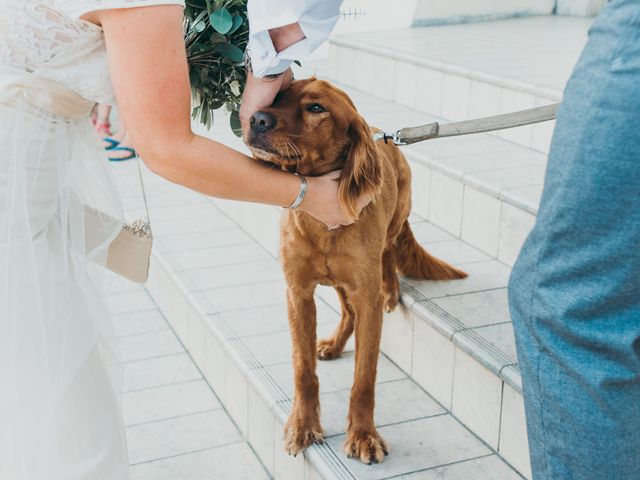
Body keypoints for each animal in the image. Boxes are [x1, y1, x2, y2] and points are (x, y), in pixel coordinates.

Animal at [245, 79, 464, 464]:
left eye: (316, 108)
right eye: (277, 96)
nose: (256, 119)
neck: (321, 222)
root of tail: (385, 136)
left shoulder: (367, 300)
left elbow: (364, 378)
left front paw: (363, 436)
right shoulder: (298, 294)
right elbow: (302, 369)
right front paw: (303, 425)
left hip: (394, 221)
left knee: (388, 250)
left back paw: (391, 287)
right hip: (338, 280)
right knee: (346, 311)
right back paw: (333, 344)